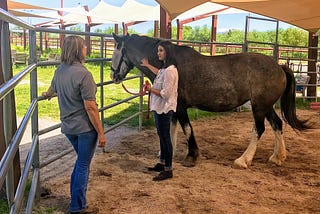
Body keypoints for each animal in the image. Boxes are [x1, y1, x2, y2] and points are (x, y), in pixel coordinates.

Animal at [109, 33, 308, 169]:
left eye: (116, 52)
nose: (113, 76)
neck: (170, 64)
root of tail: (279, 67)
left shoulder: (180, 107)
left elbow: (187, 129)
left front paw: (191, 156)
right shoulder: (173, 107)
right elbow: (172, 129)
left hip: (259, 107)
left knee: (259, 129)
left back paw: (243, 160)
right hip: (266, 106)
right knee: (277, 124)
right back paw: (278, 157)